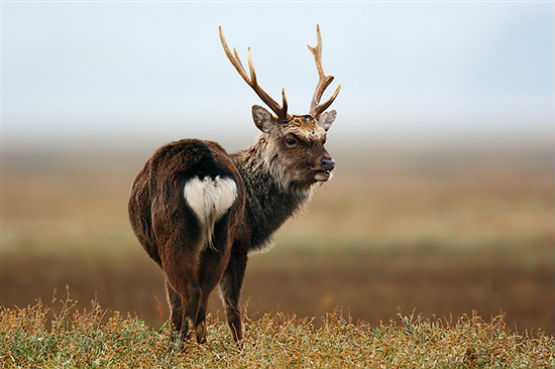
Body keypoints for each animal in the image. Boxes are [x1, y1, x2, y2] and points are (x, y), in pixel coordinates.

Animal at [128, 25, 340, 344]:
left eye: (322, 137)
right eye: (292, 138)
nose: (328, 164)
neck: (258, 215)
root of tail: (206, 172)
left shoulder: (239, 244)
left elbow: (198, 306)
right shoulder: (240, 243)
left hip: (181, 235)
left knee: (195, 297)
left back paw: (190, 347)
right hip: (216, 237)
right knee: (201, 297)